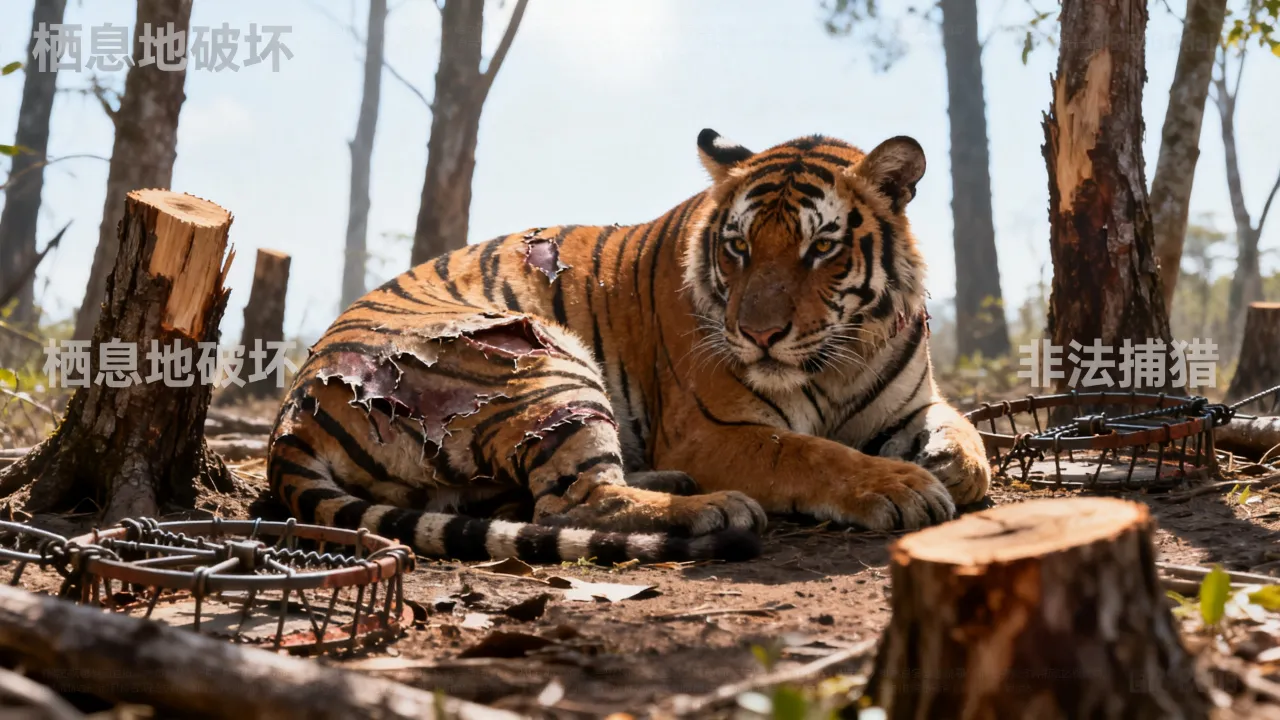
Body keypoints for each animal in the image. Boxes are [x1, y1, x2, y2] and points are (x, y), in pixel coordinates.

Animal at [268, 129, 991, 565]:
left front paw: (949, 464)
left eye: (822, 248)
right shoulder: (714, 430)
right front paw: (902, 485)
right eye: (738, 247)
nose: (757, 334)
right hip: (541, 361)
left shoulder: (912, 403)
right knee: (569, 502)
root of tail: (293, 410)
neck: (843, 354)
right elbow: (812, 454)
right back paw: (713, 507)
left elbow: (968, 438)